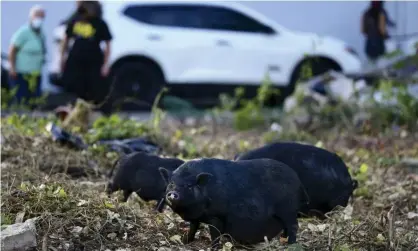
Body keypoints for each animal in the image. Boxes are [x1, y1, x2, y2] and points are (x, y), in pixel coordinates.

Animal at [158, 158, 308, 248]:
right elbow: (193, 228)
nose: (173, 194)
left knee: (293, 225)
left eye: (189, 186)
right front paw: (185, 241)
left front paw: (213, 247)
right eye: (172, 183)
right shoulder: (196, 217)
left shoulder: (216, 216)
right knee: (286, 227)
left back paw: (290, 244)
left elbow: (215, 233)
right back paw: (283, 239)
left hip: (288, 208)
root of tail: (299, 181)